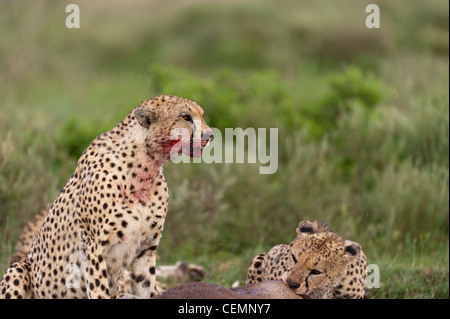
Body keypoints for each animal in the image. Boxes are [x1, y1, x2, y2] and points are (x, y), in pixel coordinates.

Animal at [0, 95, 213, 300]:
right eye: (185, 117)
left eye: (202, 115)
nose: (209, 135)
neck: (146, 166)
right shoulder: (94, 247)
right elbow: (98, 288)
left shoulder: (146, 249)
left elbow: (147, 286)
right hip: (18, 268)